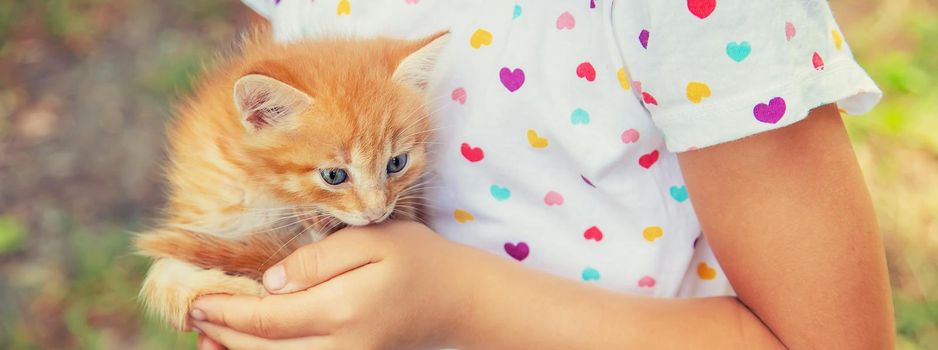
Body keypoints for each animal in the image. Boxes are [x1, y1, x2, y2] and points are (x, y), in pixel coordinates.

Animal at [133, 28, 450, 330]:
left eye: (397, 163)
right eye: (334, 175)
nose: (376, 213)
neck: (265, 193)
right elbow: (160, 280)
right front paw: (241, 287)